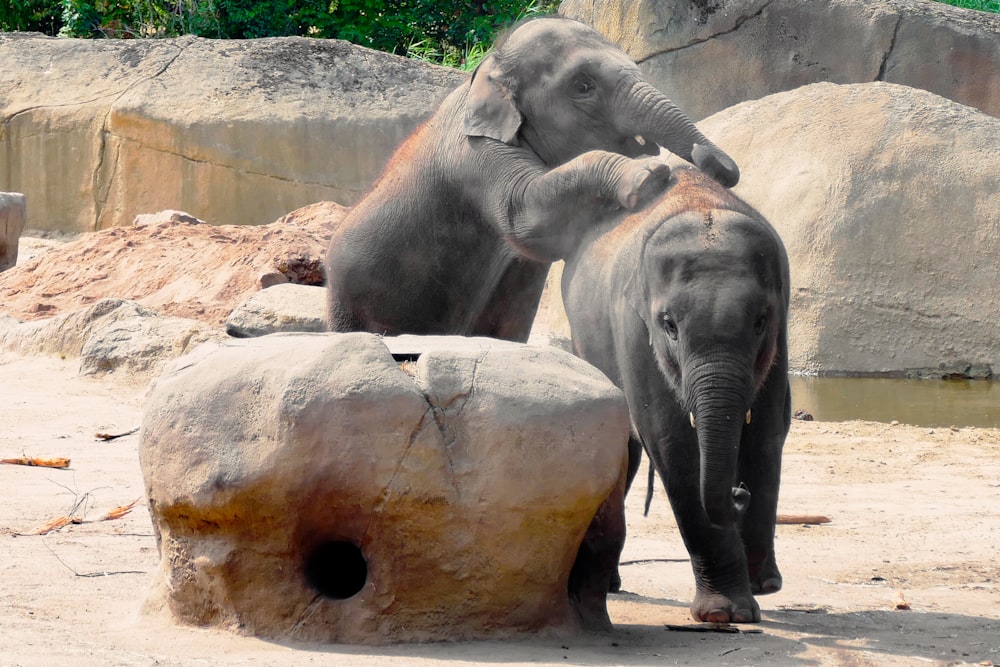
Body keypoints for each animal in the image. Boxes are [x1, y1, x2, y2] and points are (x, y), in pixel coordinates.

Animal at [324, 18, 740, 342]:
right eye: (583, 86)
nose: (721, 168)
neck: (488, 70)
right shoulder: (473, 153)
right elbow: (523, 216)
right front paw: (647, 177)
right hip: (350, 302)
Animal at [564, 167, 788, 628]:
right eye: (669, 325)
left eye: (760, 321)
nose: (739, 493)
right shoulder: (632, 326)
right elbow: (669, 439)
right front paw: (725, 613)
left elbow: (768, 430)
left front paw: (757, 589)